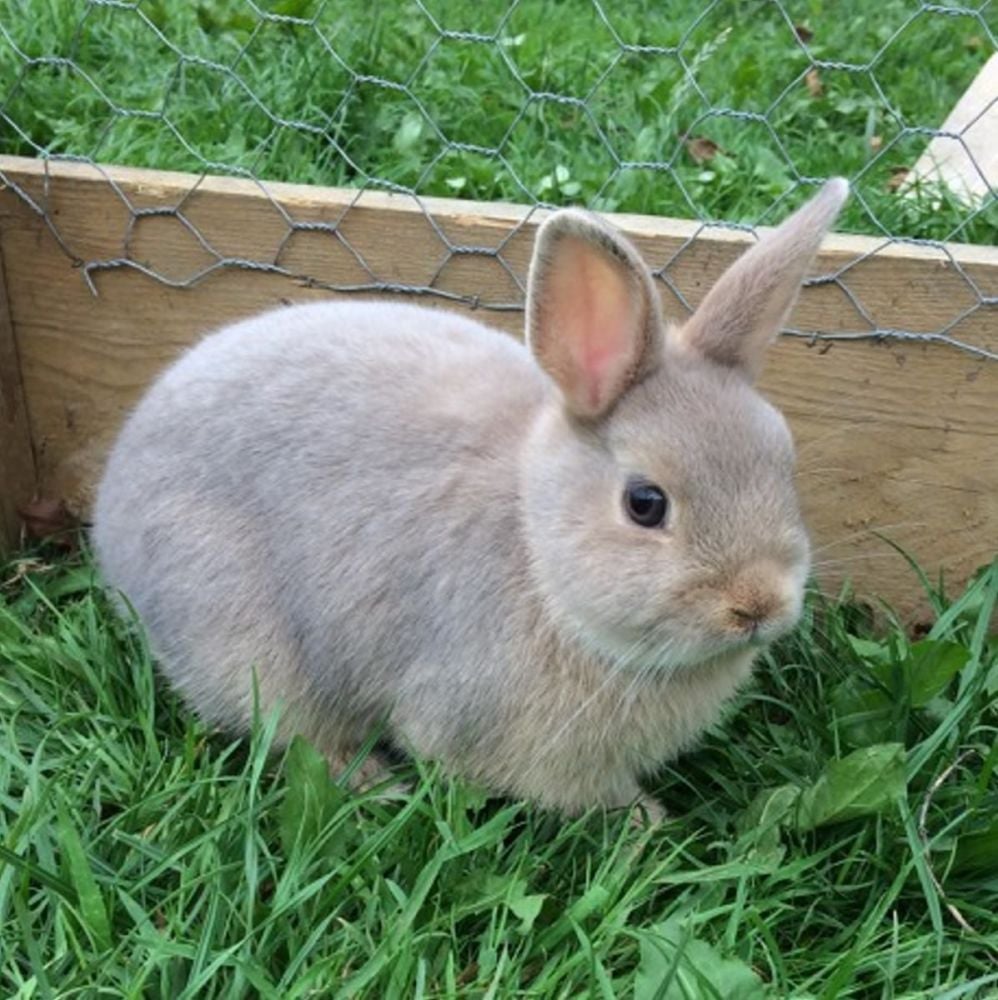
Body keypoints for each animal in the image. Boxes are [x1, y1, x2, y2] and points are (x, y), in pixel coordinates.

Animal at [90, 180, 848, 816]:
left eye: (783, 460)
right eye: (645, 503)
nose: (760, 605)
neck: (538, 552)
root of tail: (110, 514)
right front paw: (647, 825)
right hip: (244, 642)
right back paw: (378, 786)